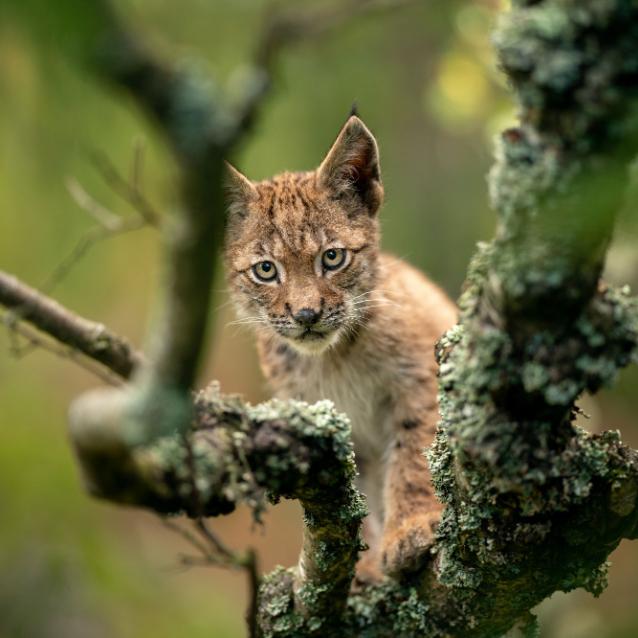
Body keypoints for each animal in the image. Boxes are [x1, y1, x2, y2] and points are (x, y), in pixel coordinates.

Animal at [225, 115, 460, 580]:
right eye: (266, 271)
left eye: (332, 258)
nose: (306, 315)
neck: (331, 356)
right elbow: (357, 494)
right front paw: (363, 566)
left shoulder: (419, 376)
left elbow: (414, 453)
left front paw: (410, 528)